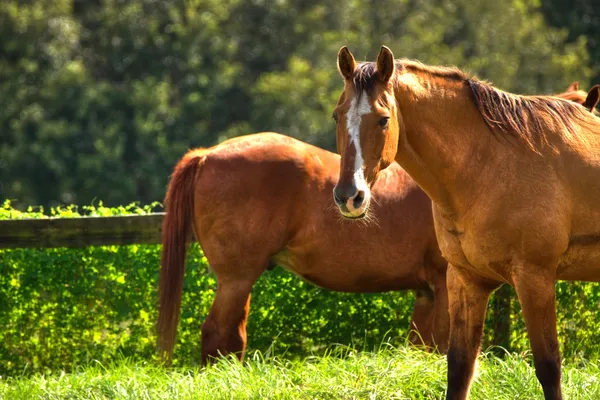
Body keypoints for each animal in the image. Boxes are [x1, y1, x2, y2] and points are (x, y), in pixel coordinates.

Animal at [330, 44, 600, 400]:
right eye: (337, 115)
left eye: (383, 119)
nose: (349, 196)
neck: (491, 166)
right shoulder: (465, 280)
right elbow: (459, 367)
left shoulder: (535, 277)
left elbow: (548, 367)